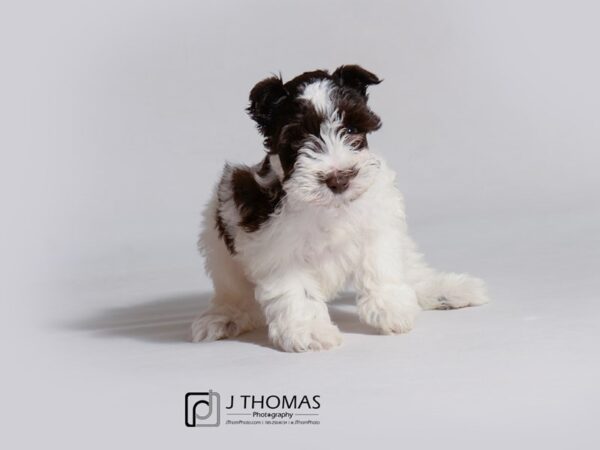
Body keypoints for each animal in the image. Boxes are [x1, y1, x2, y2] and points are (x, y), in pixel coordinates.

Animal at [192, 65, 488, 352]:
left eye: (351, 130)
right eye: (298, 139)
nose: (339, 179)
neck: (329, 207)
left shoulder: (378, 220)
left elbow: (379, 263)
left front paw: (390, 307)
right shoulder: (277, 247)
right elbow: (299, 292)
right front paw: (311, 330)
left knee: (411, 267)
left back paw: (446, 290)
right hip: (220, 241)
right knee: (233, 292)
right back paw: (224, 317)